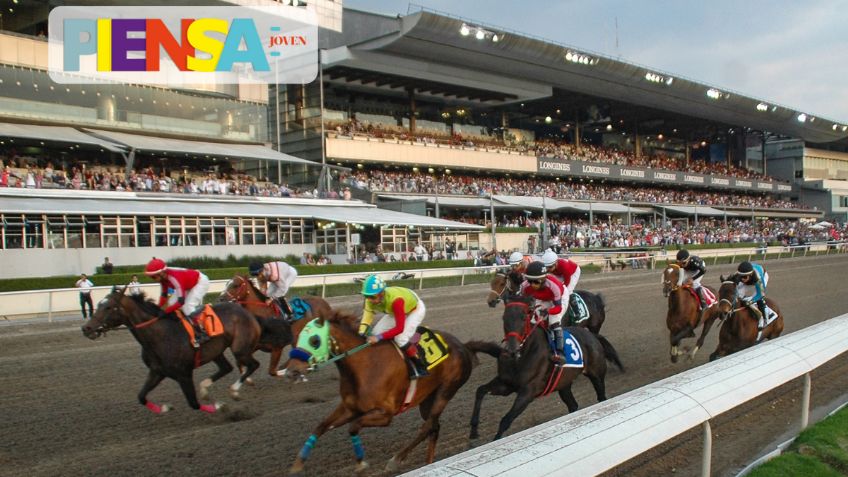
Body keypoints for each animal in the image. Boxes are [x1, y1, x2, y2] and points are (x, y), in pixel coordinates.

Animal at [83, 286, 264, 412]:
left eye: (108, 307)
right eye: (99, 304)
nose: (86, 328)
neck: (161, 335)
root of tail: (244, 311)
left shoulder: (184, 374)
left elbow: (194, 403)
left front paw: (221, 406)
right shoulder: (157, 371)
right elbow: (141, 396)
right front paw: (165, 407)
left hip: (240, 349)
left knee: (253, 365)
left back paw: (234, 391)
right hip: (216, 351)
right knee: (227, 367)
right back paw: (205, 389)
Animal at [282, 308, 474, 472]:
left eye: (314, 340)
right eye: (296, 338)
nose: (292, 372)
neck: (365, 366)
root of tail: (463, 346)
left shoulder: (385, 414)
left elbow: (353, 427)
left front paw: (361, 462)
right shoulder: (350, 407)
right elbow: (320, 426)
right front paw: (298, 463)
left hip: (445, 391)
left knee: (427, 427)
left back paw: (395, 460)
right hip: (428, 399)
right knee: (434, 426)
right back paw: (429, 463)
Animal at [464, 292, 624, 440]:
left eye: (524, 317)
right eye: (504, 318)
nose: (511, 350)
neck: (522, 356)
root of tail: (593, 336)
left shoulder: (528, 392)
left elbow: (505, 420)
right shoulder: (506, 384)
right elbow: (480, 390)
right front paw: (473, 430)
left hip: (596, 375)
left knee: (601, 397)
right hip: (563, 384)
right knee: (573, 405)